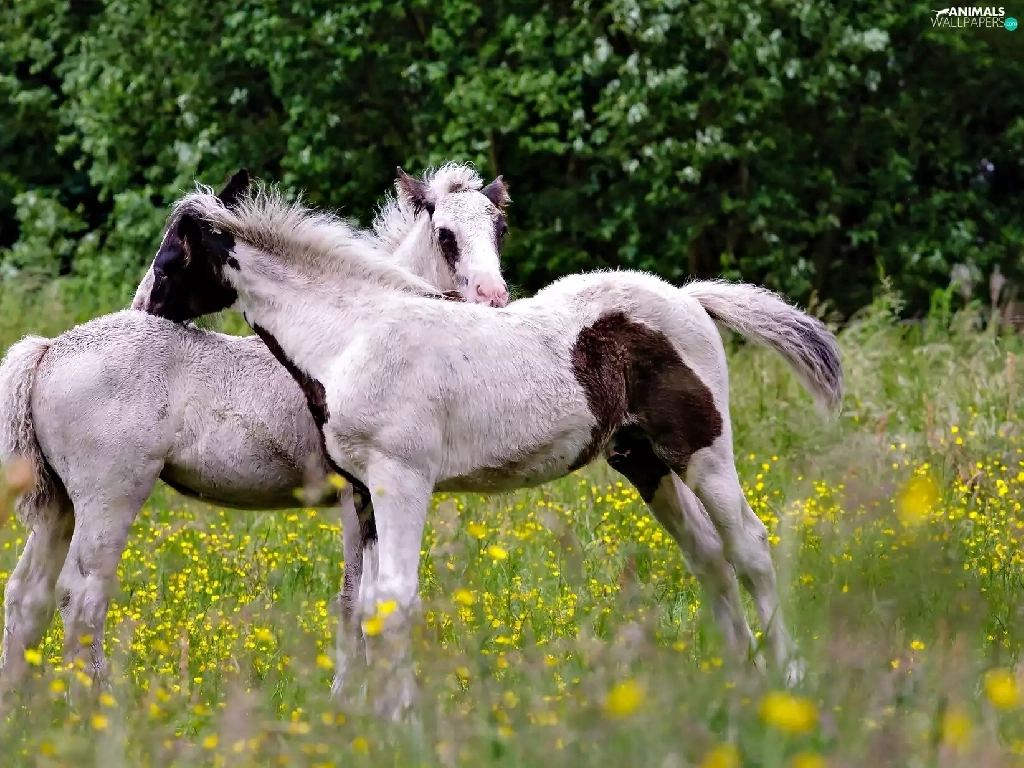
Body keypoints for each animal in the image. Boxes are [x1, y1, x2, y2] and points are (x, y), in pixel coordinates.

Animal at [0, 163, 510, 701]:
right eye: (445, 235)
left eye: (500, 228)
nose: (493, 297)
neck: (348, 335)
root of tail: (47, 349)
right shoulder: (357, 494)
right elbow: (353, 599)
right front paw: (347, 699)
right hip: (110, 499)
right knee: (81, 596)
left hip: (60, 505)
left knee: (27, 594)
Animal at [140, 169, 843, 719]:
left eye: (173, 252)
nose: (143, 306)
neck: (353, 335)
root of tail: (690, 297)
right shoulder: (364, 491)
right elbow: (364, 605)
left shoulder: (402, 479)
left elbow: (395, 600)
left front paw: (402, 724)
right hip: (641, 460)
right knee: (708, 556)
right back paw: (737, 679)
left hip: (703, 451)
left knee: (748, 546)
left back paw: (789, 679)